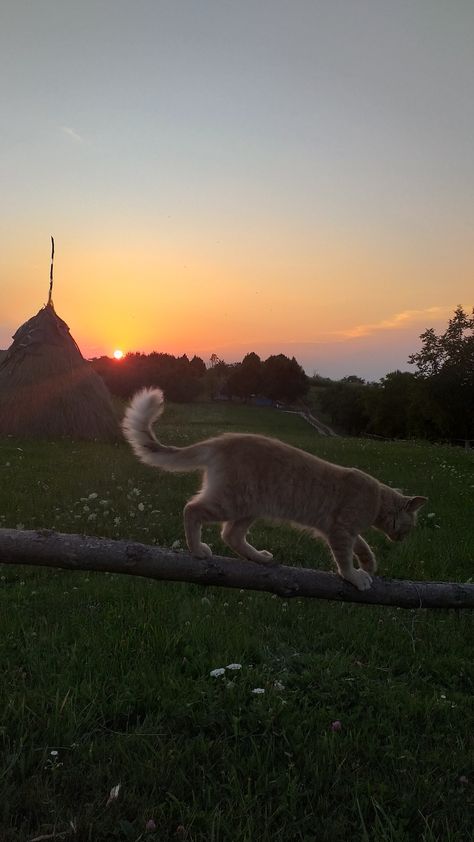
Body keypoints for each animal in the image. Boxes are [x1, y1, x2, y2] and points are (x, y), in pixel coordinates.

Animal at [122, 388, 426, 592]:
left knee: (231, 535)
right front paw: (355, 576)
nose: (402, 540)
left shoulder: (342, 530)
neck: (377, 499)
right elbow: (344, 560)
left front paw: (369, 564)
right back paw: (197, 550)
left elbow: (362, 546)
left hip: (249, 507)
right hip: (230, 501)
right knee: (192, 510)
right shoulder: (341, 531)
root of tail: (222, 440)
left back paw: (259, 558)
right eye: (409, 527)